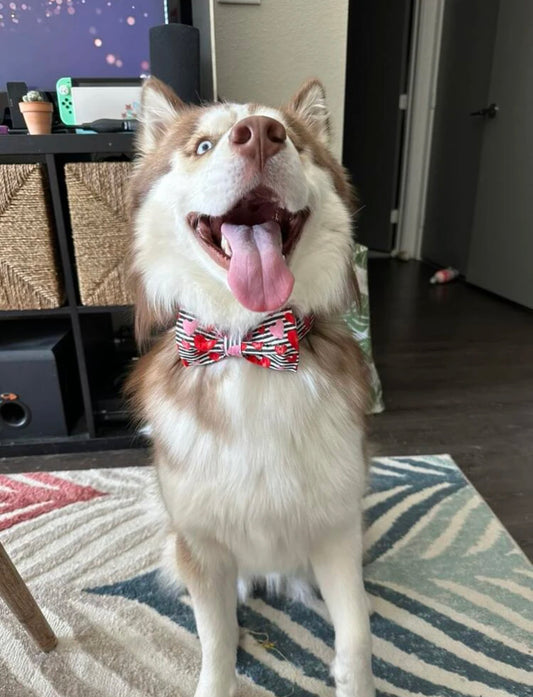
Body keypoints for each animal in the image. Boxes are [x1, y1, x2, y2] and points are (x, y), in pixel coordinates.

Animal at [127, 76, 374, 696]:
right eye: (201, 146)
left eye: (294, 140)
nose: (261, 135)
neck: (250, 346)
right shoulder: (200, 544)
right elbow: (213, 643)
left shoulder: (337, 530)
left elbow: (357, 633)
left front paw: (352, 675)